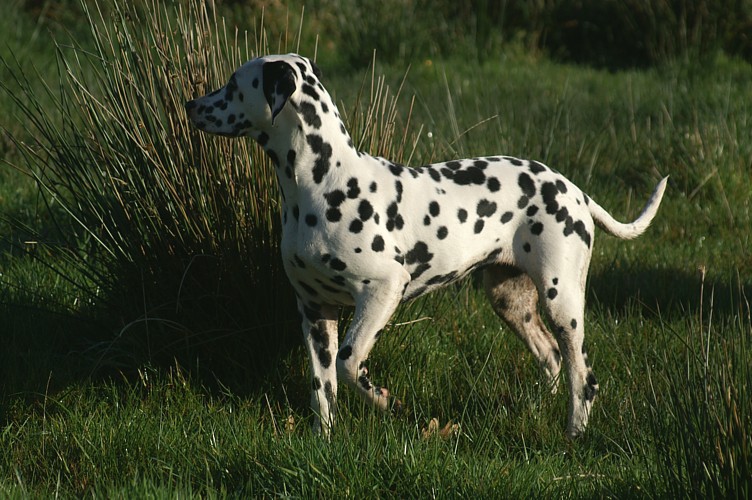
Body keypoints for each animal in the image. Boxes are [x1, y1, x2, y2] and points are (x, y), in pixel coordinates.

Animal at [185, 52, 668, 440]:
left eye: (233, 85)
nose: (191, 103)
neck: (321, 183)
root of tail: (575, 190)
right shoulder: (314, 310)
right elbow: (324, 389)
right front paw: (324, 441)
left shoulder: (382, 291)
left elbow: (349, 363)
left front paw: (385, 400)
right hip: (511, 301)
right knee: (550, 359)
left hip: (562, 302)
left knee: (582, 376)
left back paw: (574, 436)